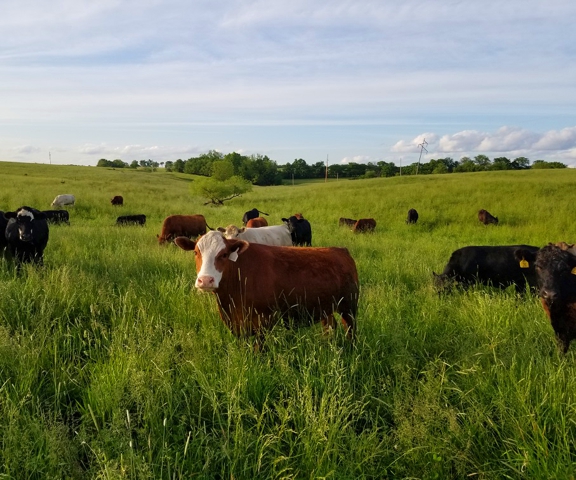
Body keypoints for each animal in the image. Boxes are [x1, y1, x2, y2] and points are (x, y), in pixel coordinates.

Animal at [174, 232, 360, 342]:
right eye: (196, 252)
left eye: (224, 254)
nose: (205, 280)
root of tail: (340, 250)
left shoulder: (262, 321)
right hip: (325, 308)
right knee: (330, 326)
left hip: (349, 307)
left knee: (350, 330)